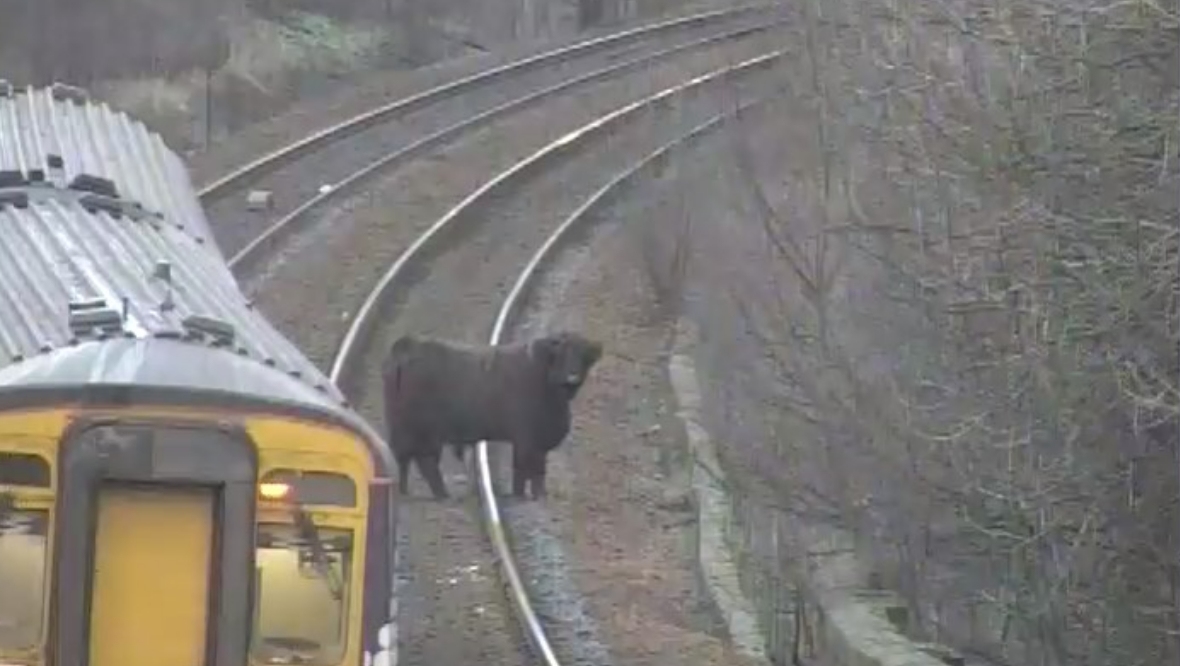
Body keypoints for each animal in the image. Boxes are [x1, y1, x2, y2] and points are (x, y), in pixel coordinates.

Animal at [379, 333, 604, 500]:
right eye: (562, 354)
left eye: (584, 355)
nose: (572, 376)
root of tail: (408, 346)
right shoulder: (527, 440)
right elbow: (524, 469)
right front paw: (525, 495)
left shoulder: (537, 443)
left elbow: (537, 471)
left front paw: (538, 494)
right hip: (423, 433)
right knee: (422, 461)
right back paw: (437, 494)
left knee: (409, 460)